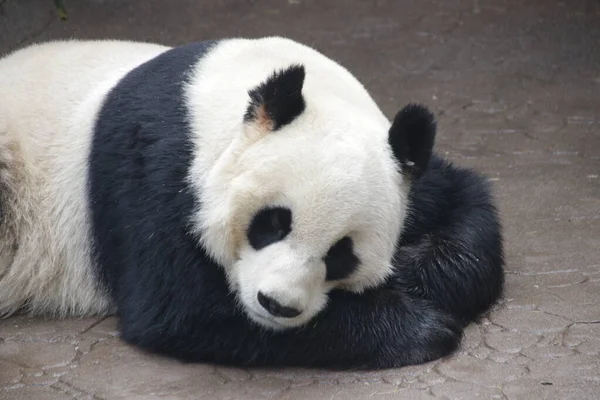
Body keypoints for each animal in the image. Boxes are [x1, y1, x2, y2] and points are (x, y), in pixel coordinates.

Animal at [0, 36, 506, 368]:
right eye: (272, 223)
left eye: (342, 255)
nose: (277, 305)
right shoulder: (154, 166)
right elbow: (180, 308)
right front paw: (422, 327)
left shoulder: (402, 165)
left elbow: (464, 203)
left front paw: (416, 275)